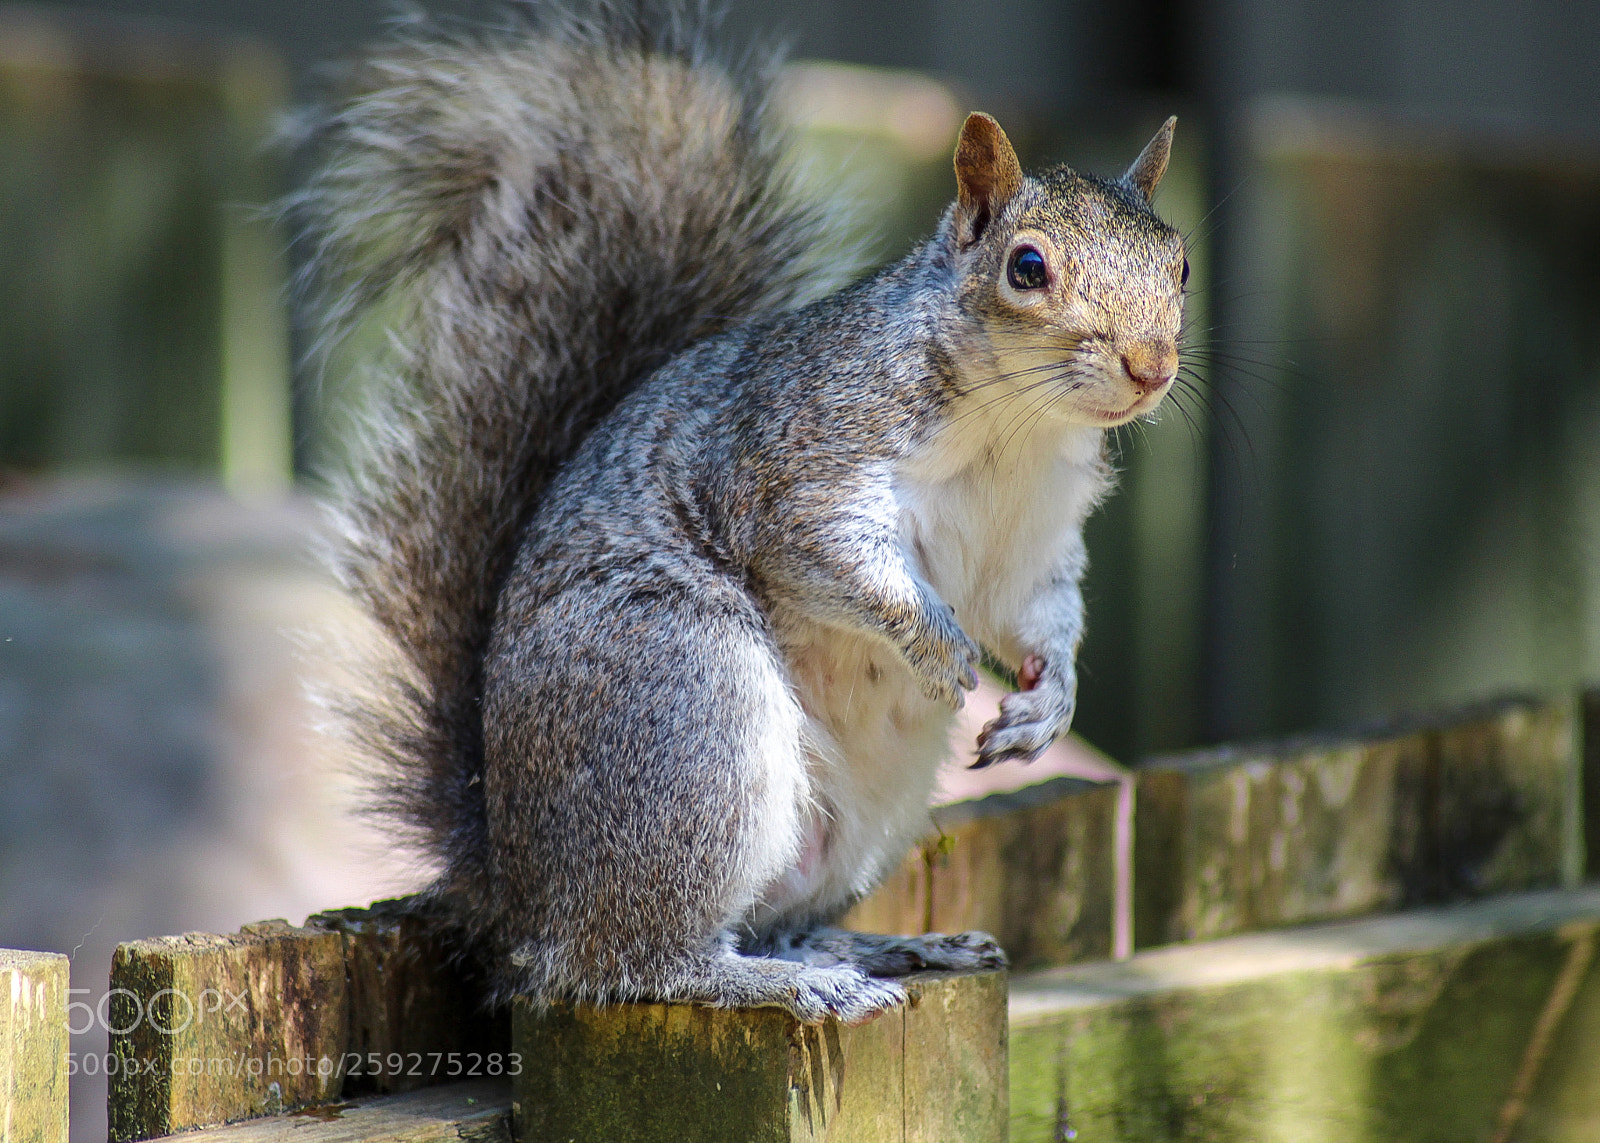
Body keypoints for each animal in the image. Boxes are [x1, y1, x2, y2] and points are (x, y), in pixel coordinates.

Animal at [297, 4, 1190, 1024]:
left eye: (1180, 262)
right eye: (1027, 267)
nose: (1151, 367)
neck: (1018, 427)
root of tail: (519, 893)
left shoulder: (1035, 537)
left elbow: (1039, 613)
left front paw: (1048, 701)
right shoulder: (799, 466)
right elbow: (836, 559)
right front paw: (937, 645)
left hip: (853, 811)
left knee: (772, 917)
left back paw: (883, 947)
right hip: (685, 706)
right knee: (633, 960)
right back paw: (783, 980)